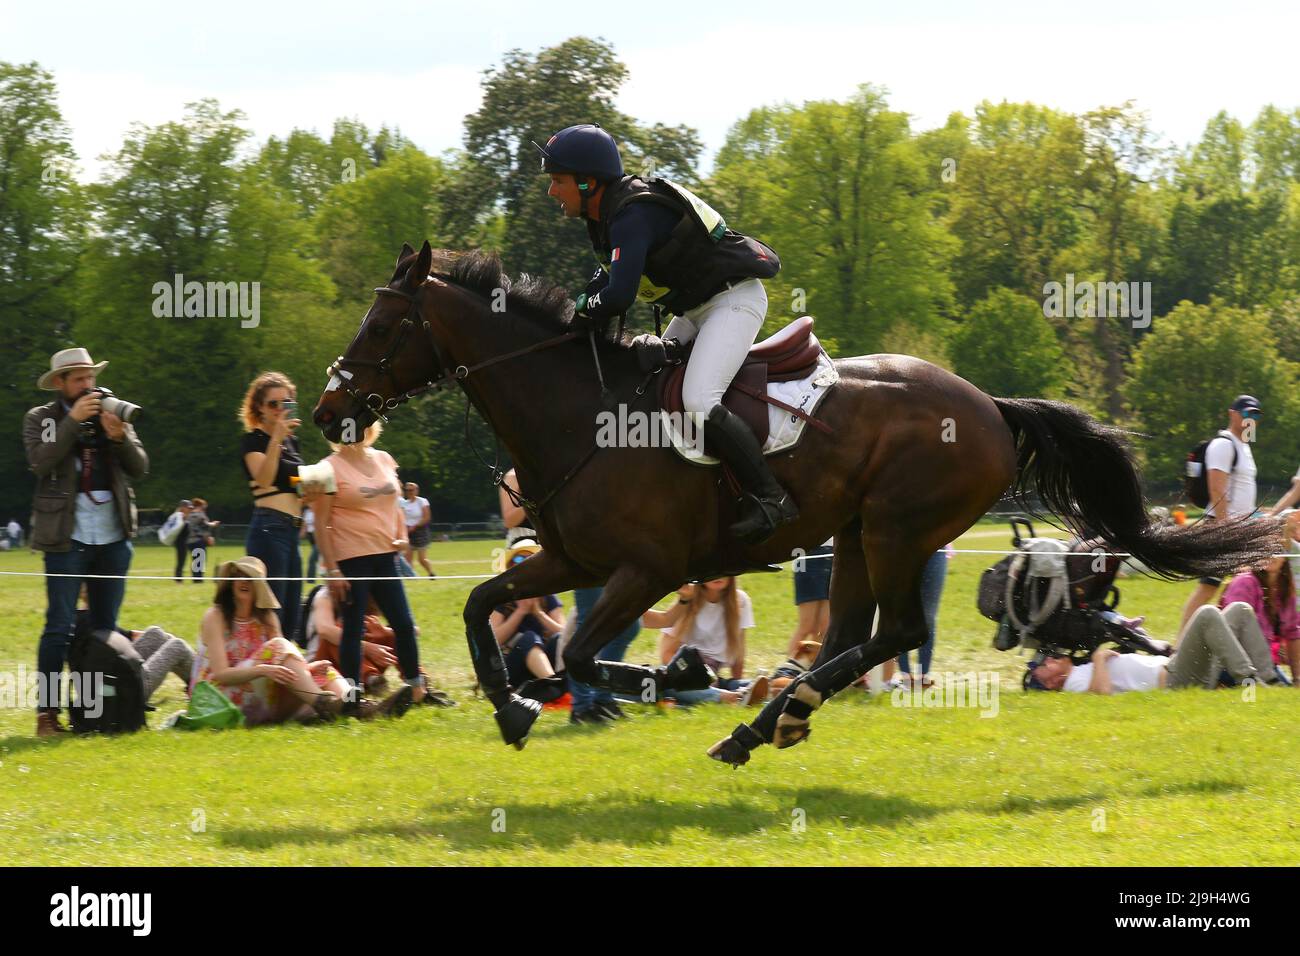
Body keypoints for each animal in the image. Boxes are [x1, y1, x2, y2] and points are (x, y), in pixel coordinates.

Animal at [312, 240, 1279, 770]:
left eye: (383, 324)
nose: (327, 411)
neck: (575, 409)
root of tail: (987, 406)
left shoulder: (645, 569)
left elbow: (585, 654)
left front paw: (682, 675)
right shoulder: (572, 560)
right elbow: (485, 605)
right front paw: (513, 702)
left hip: (895, 527)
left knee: (891, 631)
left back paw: (765, 718)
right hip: (854, 533)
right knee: (853, 632)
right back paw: (772, 721)